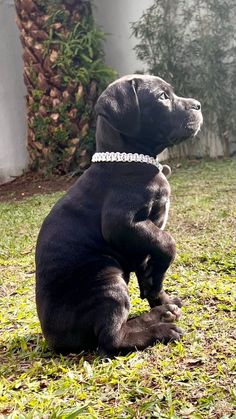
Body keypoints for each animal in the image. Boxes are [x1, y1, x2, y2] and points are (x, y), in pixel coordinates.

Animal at [35, 74, 203, 356]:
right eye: (162, 96)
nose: (199, 105)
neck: (130, 159)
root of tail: (53, 339)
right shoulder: (122, 223)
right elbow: (168, 242)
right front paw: (156, 283)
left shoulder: (140, 241)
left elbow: (153, 261)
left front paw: (159, 293)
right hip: (107, 280)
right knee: (111, 339)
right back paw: (159, 329)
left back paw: (161, 312)